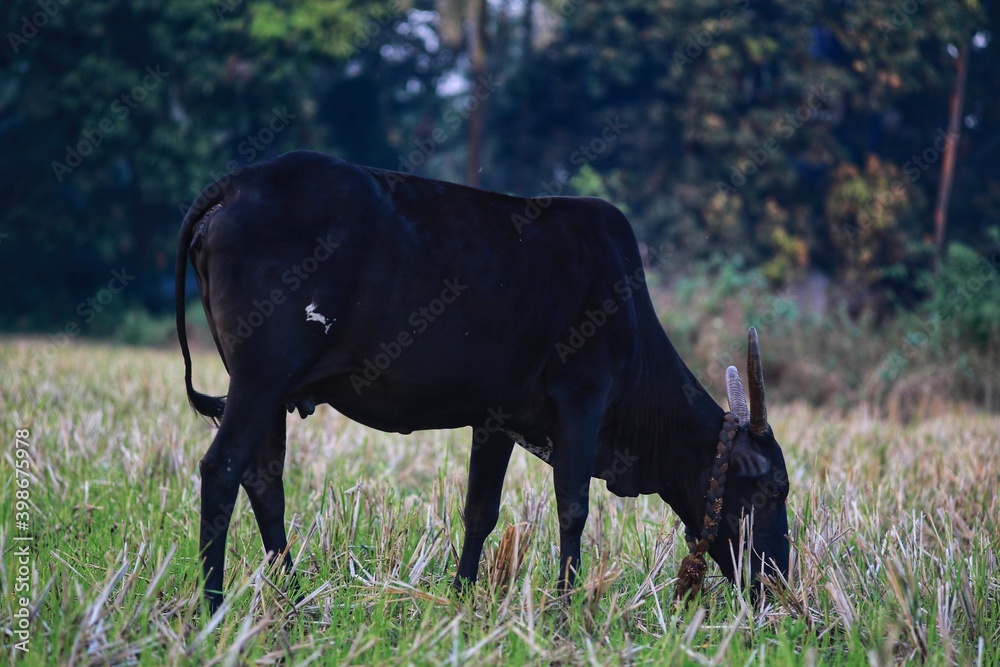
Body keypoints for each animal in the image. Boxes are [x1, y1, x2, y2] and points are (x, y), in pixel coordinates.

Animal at [174, 150, 790, 613]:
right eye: (773, 488)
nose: (778, 580)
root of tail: (235, 184)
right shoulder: (582, 400)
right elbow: (574, 509)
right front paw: (564, 610)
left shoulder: (497, 419)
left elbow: (480, 511)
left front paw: (462, 597)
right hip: (261, 379)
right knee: (222, 471)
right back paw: (215, 605)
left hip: (268, 391)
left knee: (265, 482)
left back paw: (296, 598)